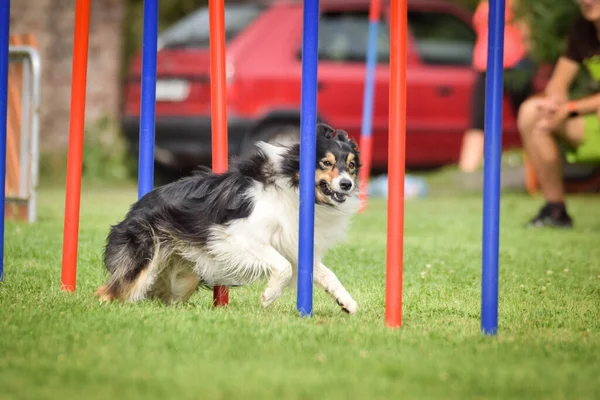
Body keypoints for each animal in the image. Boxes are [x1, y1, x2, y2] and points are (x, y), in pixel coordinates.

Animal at [95, 123, 360, 314]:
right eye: (326, 163)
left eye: (351, 166)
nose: (347, 184)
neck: (292, 187)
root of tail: (133, 209)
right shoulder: (236, 236)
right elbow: (283, 267)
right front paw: (269, 296)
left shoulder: (293, 243)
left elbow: (325, 273)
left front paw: (346, 302)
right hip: (145, 259)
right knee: (108, 292)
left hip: (184, 277)